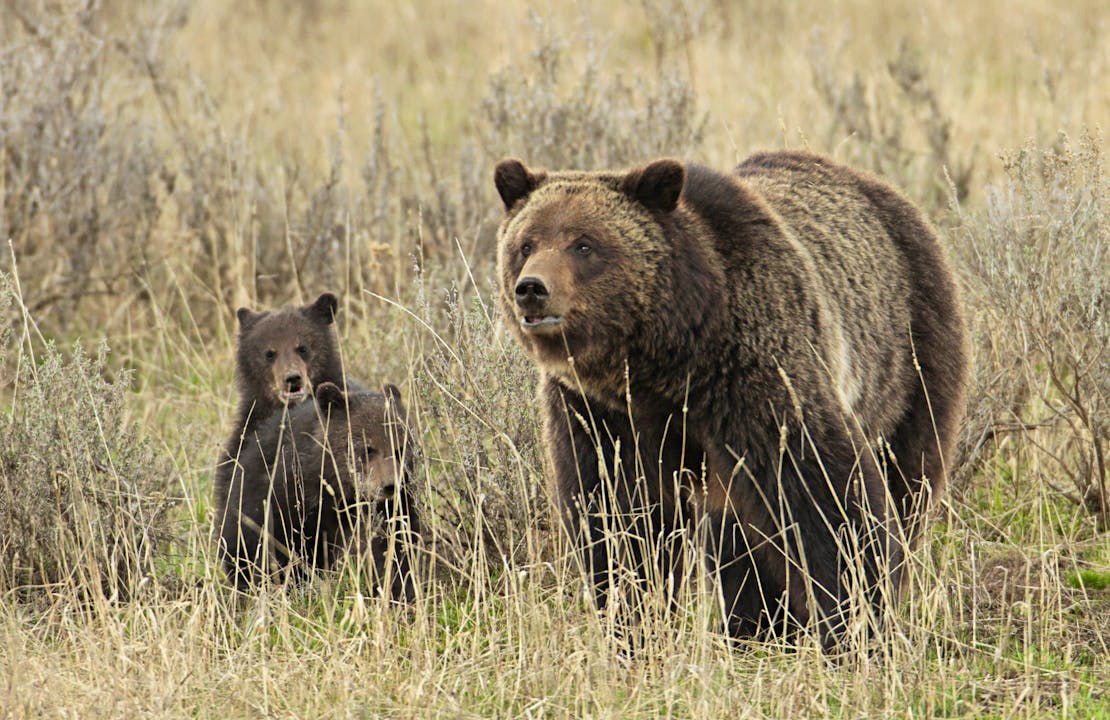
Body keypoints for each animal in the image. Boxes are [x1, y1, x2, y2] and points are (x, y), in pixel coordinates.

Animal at [497, 151, 972, 647]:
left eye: (584, 244)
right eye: (526, 244)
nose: (532, 288)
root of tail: (875, 186)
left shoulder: (754, 373)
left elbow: (825, 493)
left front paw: (857, 620)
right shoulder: (599, 413)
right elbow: (618, 516)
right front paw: (632, 621)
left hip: (909, 357)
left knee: (908, 476)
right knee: (737, 540)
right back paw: (756, 625)